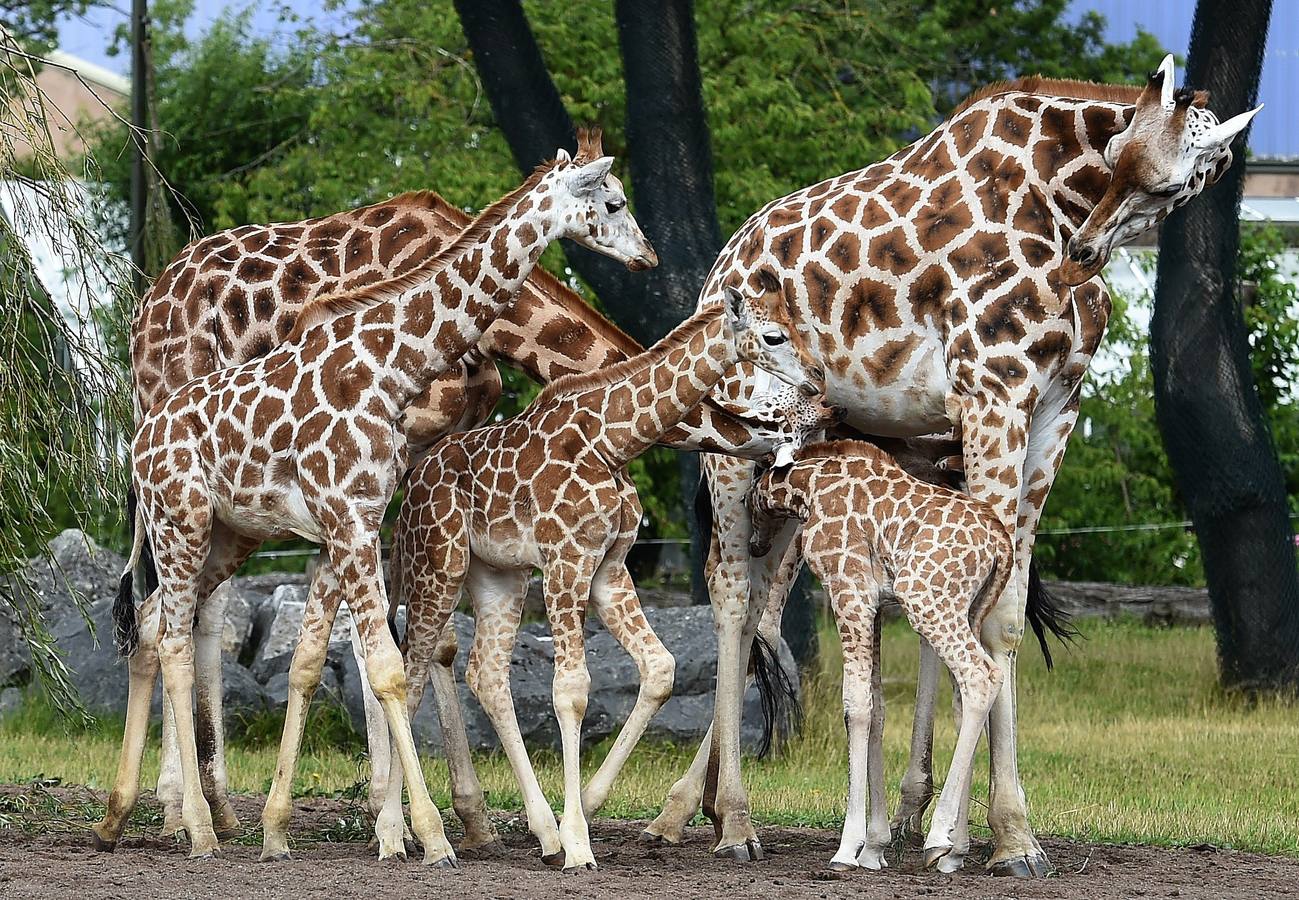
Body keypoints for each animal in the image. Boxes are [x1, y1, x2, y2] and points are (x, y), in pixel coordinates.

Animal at [384, 270, 826, 867]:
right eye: (774, 336)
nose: (819, 391)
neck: (614, 440)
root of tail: (409, 487)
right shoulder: (566, 558)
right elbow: (571, 689)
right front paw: (578, 844)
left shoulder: (608, 569)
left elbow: (659, 669)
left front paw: (580, 819)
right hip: (439, 564)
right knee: (409, 676)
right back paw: (411, 836)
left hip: (498, 576)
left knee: (485, 674)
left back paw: (532, 833)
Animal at [748, 438, 1008, 872]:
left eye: (751, 490)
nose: (755, 544)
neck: (808, 489)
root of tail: (1001, 545)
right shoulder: (875, 606)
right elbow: (877, 708)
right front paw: (873, 849)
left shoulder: (850, 591)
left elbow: (855, 707)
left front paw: (847, 848)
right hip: (971, 610)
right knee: (965, 699)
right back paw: (955, 850)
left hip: (925, 598)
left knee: (981, 676)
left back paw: (938, 838)